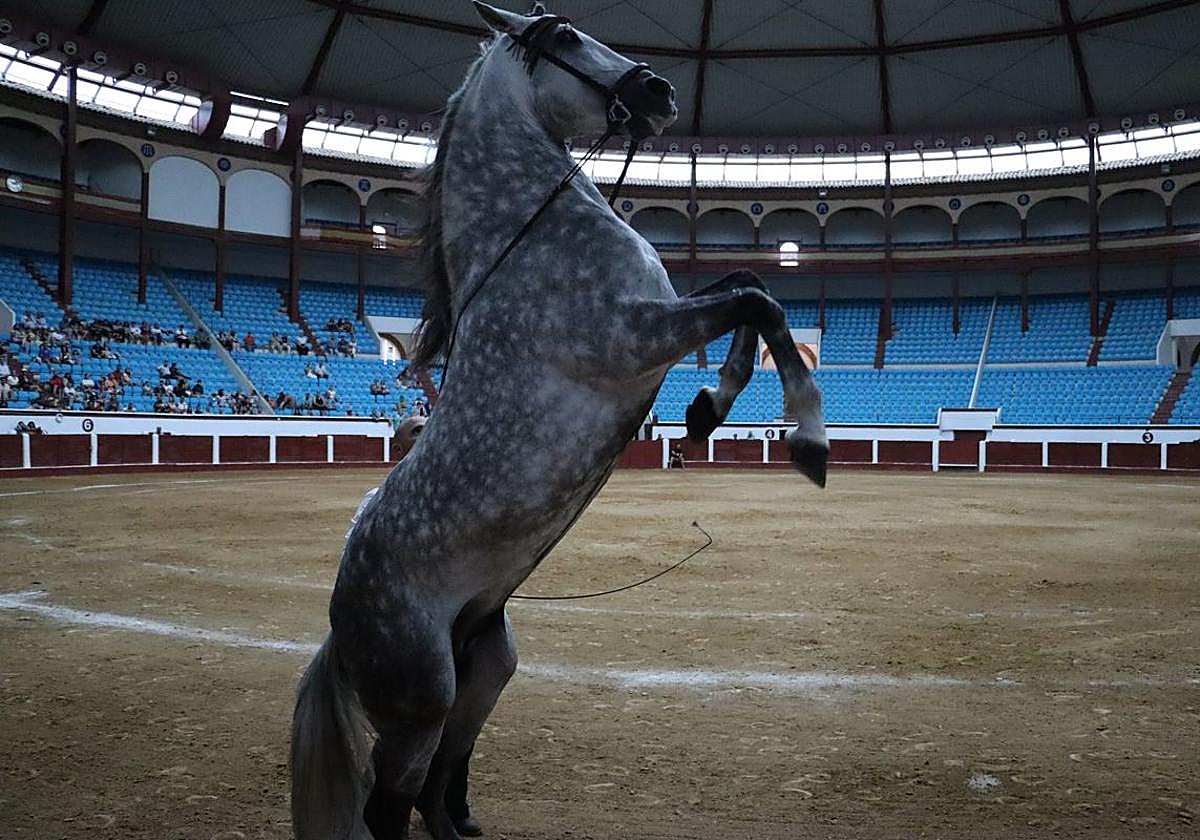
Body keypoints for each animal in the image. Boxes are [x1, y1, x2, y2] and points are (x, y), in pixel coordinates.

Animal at [290, 4, 829, 839]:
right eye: (567, 36)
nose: (659, 91)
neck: (533, 246)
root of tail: (340, 624)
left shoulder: (660, 318)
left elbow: (751, 286)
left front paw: (708, 412)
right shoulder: (632, 337)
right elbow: (755, 300)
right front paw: (805, 440)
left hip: (486, 663)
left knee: (442, 779)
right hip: (421, 698)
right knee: (391, 802)